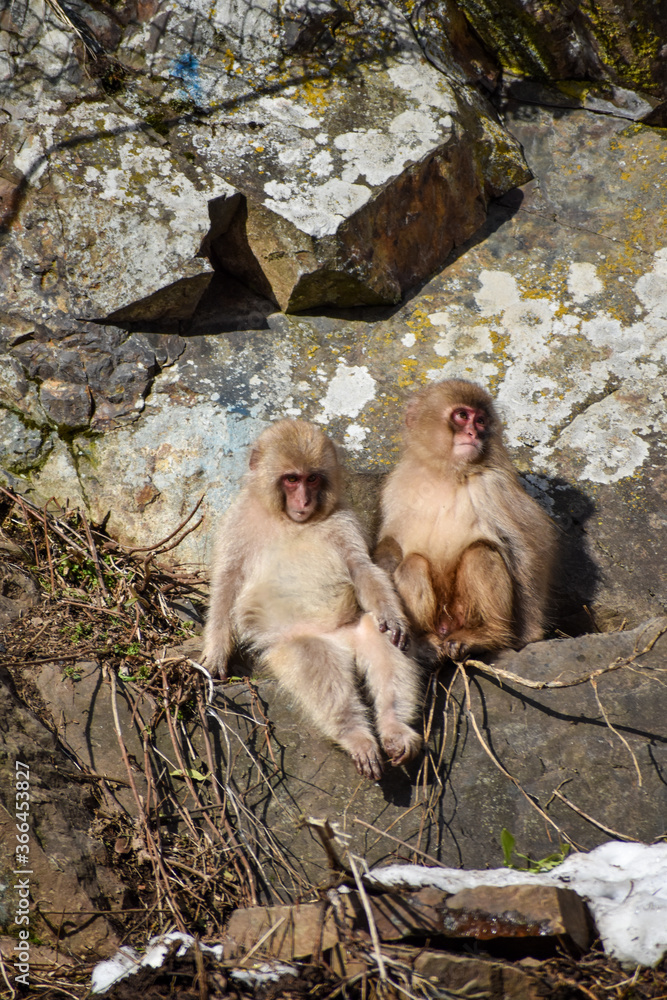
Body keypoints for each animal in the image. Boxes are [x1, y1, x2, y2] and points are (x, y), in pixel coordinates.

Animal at [203, 419, 423, 780]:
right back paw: (355, 735)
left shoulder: (343, 519)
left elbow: (361, 568)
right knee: (315, 662)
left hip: (352, 628)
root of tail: (342, 642)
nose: (304, 501)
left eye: (313, 479)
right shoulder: (237, 521)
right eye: (292, 479)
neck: (287, 519)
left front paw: (392, 614)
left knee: (379, 636)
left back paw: (394, 729)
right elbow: (227, 582)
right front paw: (216, 652)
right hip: (300, 642)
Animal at [374, 379, 557, 662]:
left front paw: (530, 634)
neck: (446, 472)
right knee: (412, 564)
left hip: (463, 613)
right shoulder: (396, 485)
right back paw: (425, 640)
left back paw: (489, 635)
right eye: (462, 416)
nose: (473, 433)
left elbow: (527, 547)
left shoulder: (494, 485)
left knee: (480, 552)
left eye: (480, 421)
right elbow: (391, 542)